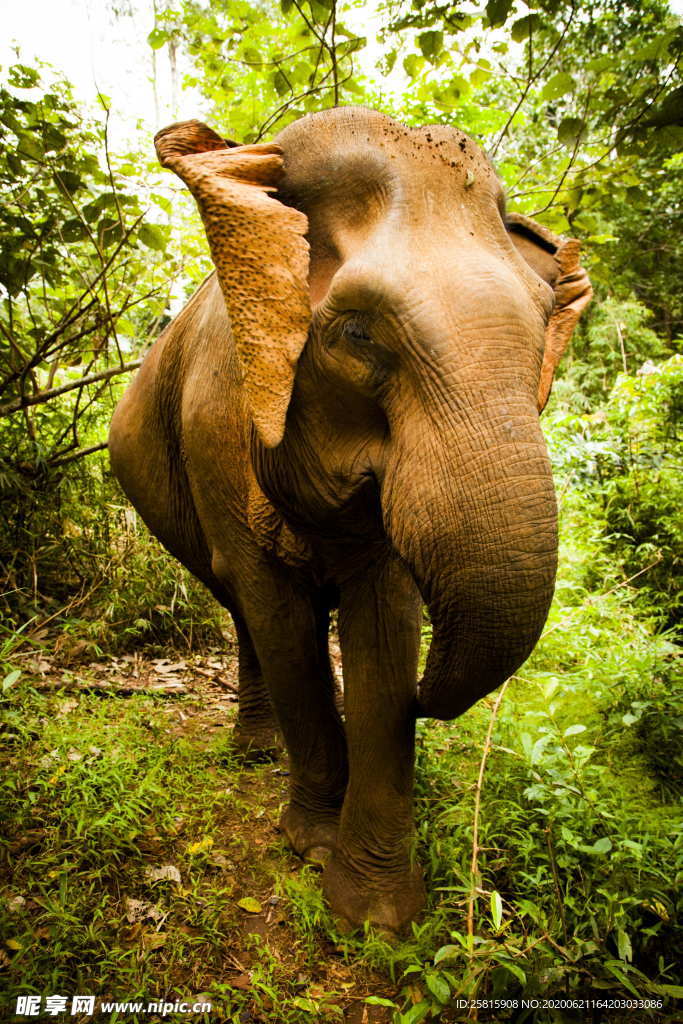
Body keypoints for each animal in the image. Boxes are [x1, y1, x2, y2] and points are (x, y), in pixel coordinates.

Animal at [108, 108, 593, 933]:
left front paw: (372, 916)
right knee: (242, 607)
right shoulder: (214, 421)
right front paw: (309, 843)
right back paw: (257, 750)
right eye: (358, 335)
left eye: (542, 327)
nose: (431, 698)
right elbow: (279, 618)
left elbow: (384, 627)